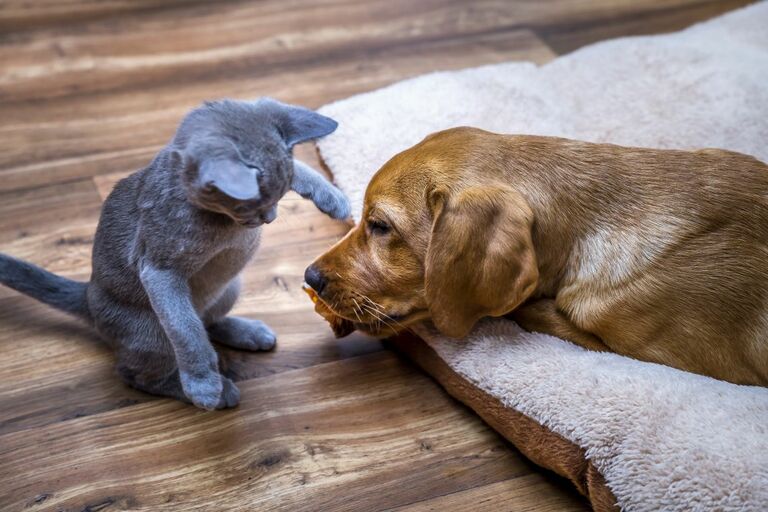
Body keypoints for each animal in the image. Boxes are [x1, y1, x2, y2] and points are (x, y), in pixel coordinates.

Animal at [0, 98, 348, 410]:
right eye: (251, 205)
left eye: (277, 197)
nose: (270, 218)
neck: (219, 222)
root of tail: (88, 292)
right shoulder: (160, 271)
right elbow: (187, 332)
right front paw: (203, 386)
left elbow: (300, 168)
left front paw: (335, 199)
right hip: (152, 332)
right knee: (138, 372)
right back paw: (218, 392)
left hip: (229, 286)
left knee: (207, 319)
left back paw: (250, 333)